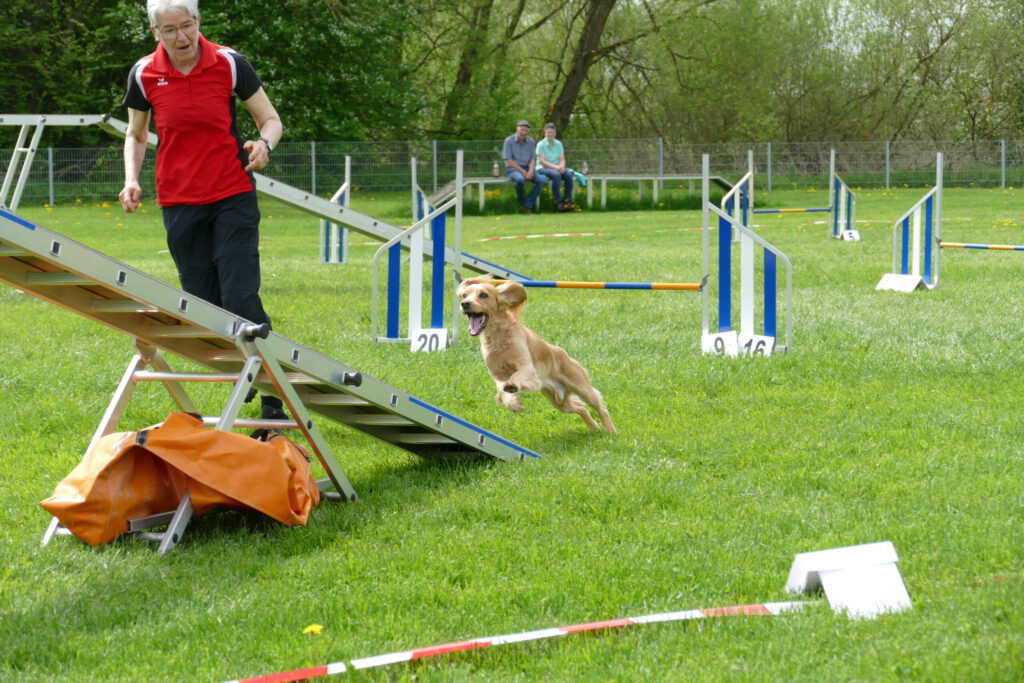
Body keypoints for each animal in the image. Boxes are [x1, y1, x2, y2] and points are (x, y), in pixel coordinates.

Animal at [456, 276, 616, 433]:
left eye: (483, 295)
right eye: (464, 295)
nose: (464, 304)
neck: (498, 338)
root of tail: (566, 355)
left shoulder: (526, 366)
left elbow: (517, 375)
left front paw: (513, 387)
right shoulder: (496, 374)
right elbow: (501, 389)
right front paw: (513, 403)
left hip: (582, 388)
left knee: (600, 407)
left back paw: (611, 431)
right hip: (558, 401)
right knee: (580, 407)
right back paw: (594, 427)